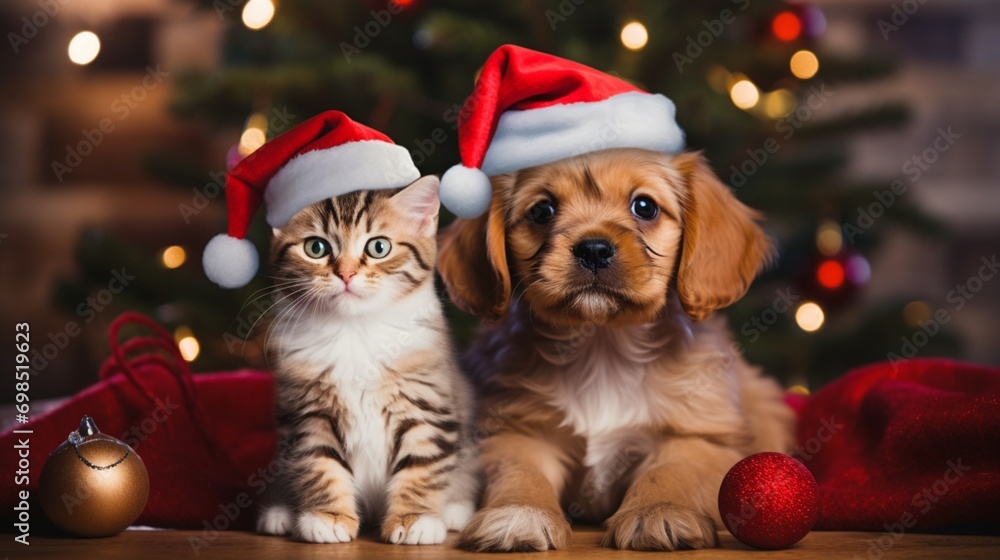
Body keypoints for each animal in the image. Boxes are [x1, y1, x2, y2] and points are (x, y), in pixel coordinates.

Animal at [254, 177, 480, 544]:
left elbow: (421, 467)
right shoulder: (308, 415)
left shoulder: (426, 407)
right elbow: (321, 466)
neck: (354, 330)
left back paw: (453, 510)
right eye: (316, 248)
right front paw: (328, 517)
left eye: (378, 248)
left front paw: (414, 519)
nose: (346, 274)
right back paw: (281, 513)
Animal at [438, 148, 796, 552]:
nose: (593, 249)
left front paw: (659, 512)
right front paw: (518, 513)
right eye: (542, 210)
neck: (602, 344)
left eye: (645, 207)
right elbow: (520, 473)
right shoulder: (518, 429)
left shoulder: (697, 434)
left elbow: (670, 470)